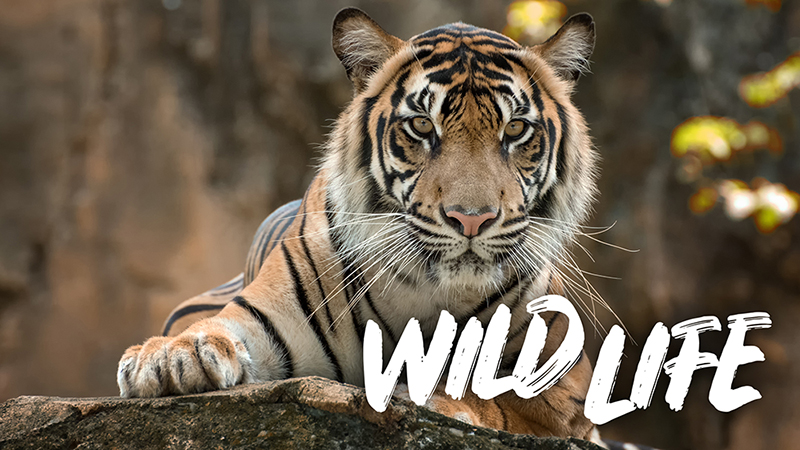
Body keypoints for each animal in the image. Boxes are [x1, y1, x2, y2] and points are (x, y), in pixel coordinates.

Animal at [115, 7, 608, 442]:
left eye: (516, 130)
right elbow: (215, 329)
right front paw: (168, 358)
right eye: (421, 125)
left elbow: (496, 395)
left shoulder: (566, 388)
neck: (429, 293)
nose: (472, 219)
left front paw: (428, 395)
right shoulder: (264, 316)